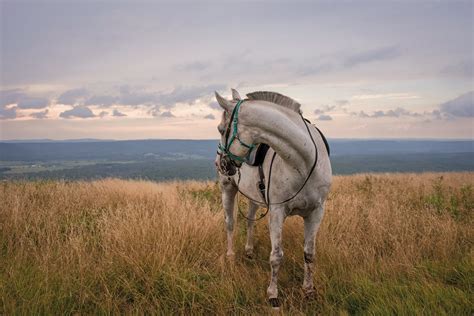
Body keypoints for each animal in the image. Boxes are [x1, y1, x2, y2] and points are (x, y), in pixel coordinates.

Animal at [213, 88, 332, 308]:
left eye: (221, 129)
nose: (220, 163)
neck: (303, 162)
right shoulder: (277, 211)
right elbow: (276, 256)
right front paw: (273, 295)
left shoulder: (316, 212)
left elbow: (309, 254)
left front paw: (309, 291)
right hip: (227, 189)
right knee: (230, 223)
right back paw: (231, 257)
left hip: (253, 195)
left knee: (250, 220)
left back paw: (249, 251)